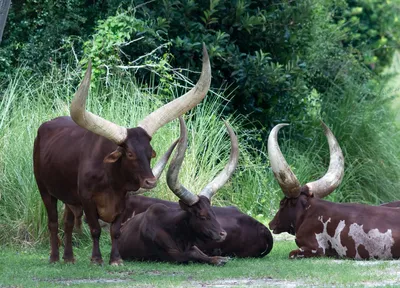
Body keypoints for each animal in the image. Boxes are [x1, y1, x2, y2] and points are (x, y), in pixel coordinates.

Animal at [33, 44, 212, 266]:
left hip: (69, 197)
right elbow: (95, 229)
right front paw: (96, 259)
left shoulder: (122, 200)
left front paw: (116, 259)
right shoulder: (86, 199)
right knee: (53, 222)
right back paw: (54, 257)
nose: (150, 182)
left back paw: (69, 258)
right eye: (130, 154)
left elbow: (115, 231)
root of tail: (45, 126)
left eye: (150, 153)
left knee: (67, 222)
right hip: (45, 190)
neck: (110, 179)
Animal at [117, 117, 239, 266]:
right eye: (202, 216)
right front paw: (218, 259)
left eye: (213, 212)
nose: (223, 234)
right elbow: (193, 254)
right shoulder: (173, 256)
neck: (174, 229)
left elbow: (198, 252)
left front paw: (220, 258)